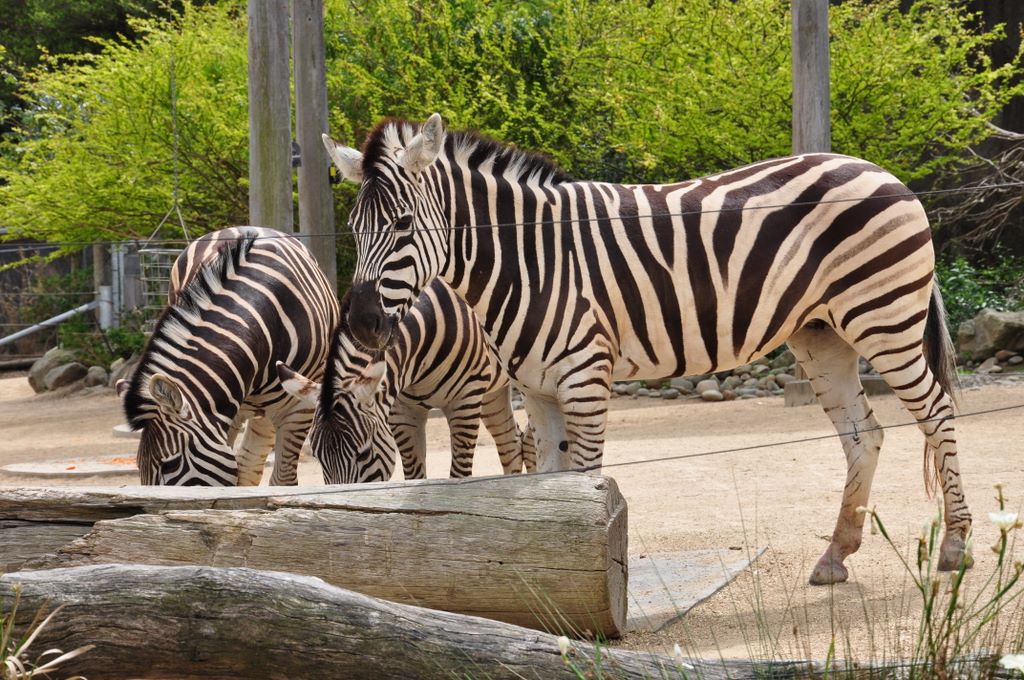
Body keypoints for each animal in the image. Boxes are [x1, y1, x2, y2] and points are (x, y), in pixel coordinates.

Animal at [277, 278, 536, 484]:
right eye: (318, 457)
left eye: (364, 453)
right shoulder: (401, 411)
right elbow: (413, 476)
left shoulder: (466, 398)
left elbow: (458, 476)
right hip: (493, 391)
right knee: (511, 443)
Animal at [322, 114, 971, 586]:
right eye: (352, 228)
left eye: (404, 225)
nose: (362, 323)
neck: (527, 259)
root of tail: (880, 171)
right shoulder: (538, 389)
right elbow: (548, 487)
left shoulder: (585, 376)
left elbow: (586, 482)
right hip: (822, 334)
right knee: (865, 433)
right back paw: (836, 555)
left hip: (884, 317)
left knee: (939, 413)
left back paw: (956, 546)